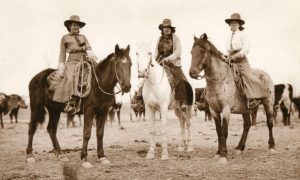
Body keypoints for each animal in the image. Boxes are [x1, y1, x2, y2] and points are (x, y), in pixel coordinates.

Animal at [189, 33, 276, 165]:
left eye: (202, 50)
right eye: (191, 52)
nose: (192, 73)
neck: (219, 80)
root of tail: (266, 75)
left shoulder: (226, 109)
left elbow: (224, 131)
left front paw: (223, 155)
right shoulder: (214, 110)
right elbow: (218, 131)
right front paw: (218, 153)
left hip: (268, 103)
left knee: (269, 123)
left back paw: (271, 147)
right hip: (245, 109)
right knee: (247, 125)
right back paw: (240, 147)